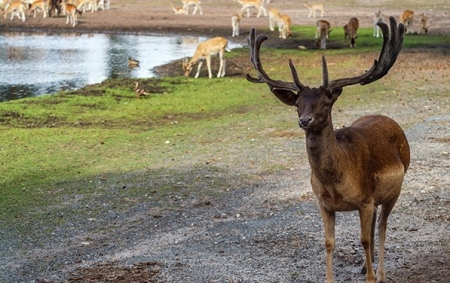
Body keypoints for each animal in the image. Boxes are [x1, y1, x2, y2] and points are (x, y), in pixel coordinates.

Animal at [248, 16, 410, 283]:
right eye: (298, 104)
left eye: (325, 103)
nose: (305, 120)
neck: (335, 183)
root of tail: (390, 120)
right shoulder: (323, 202)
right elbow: (328, 242)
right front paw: (333, 277)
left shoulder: (364, 200)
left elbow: (364, 239)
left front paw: (371, 278)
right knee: (375, 225)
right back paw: (366, 266)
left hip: (396, 188)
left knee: (382, 227)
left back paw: (380, 273)